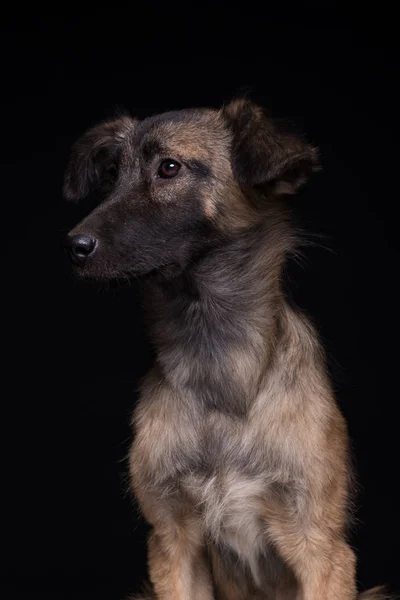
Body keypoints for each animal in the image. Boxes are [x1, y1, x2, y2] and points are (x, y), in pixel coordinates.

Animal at [64, 101, 386, 596]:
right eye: (113, 174)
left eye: (169, 168)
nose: (75, 246)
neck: (216, 361)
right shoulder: (173, 542)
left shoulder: (320, 547)